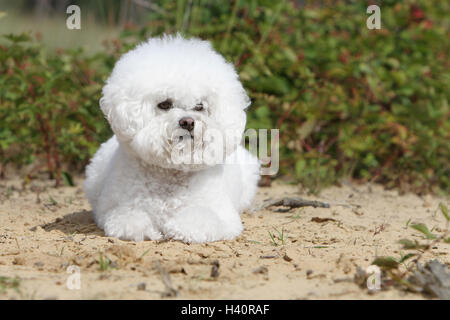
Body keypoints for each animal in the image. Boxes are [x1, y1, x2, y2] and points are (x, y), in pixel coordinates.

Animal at [84, 34, 260, 242]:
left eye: (200, 106)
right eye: (165, 104)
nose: (188, 122)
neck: (170, 174)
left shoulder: (223, 217)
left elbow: (197, 220)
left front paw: (175, 227)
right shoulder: (113, 210)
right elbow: (129, 218)